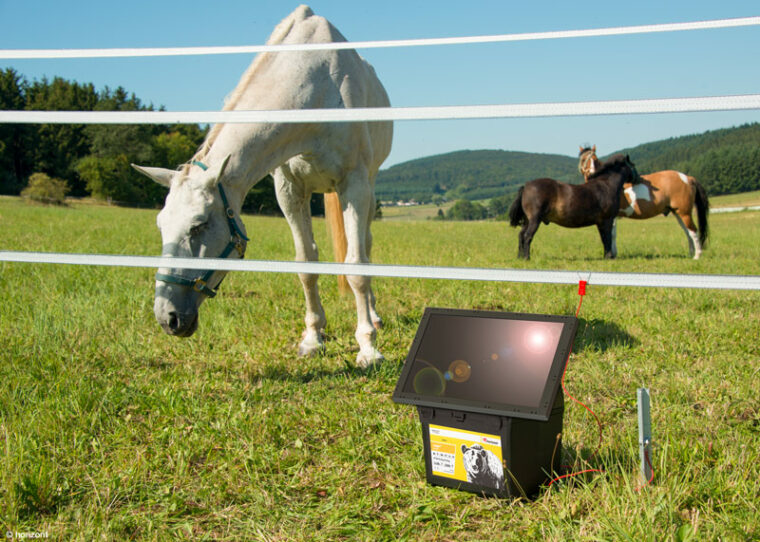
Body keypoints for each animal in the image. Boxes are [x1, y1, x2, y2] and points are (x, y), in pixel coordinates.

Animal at [131, 4, 392, 370]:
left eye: (199, 225)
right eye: (160, 226)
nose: (167, 318)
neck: (317, 90)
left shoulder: (353, 184)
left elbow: (356, 267)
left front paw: (368, 348)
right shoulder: (289, 190)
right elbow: (306, 264)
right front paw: (312, 338)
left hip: (368, 186)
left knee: (365, 247)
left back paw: (374, 318)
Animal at [510, 155, 640, 262]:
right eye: (633, 165)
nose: (639, 179)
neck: (606, 186)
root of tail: (526, 186)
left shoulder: (600, 223)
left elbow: (604, 238)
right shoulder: (606, 220)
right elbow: (607, 239)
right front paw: (609, 257)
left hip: (527, 221)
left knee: (521, 235)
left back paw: (519, 257)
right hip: (535, 220)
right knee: (527, 236)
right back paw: (526, 258)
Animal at [580, 147, 708, 262]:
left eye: (594, 159)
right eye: (583, 159)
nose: (590, 173)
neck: (607, 182)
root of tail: (688, 178)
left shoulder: (611, 217)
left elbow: (611, 235)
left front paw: (612, 254)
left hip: (684, 213)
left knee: (693, 231)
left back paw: (697, 256)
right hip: (678, 213)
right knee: (687, 231)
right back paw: (691, 254)